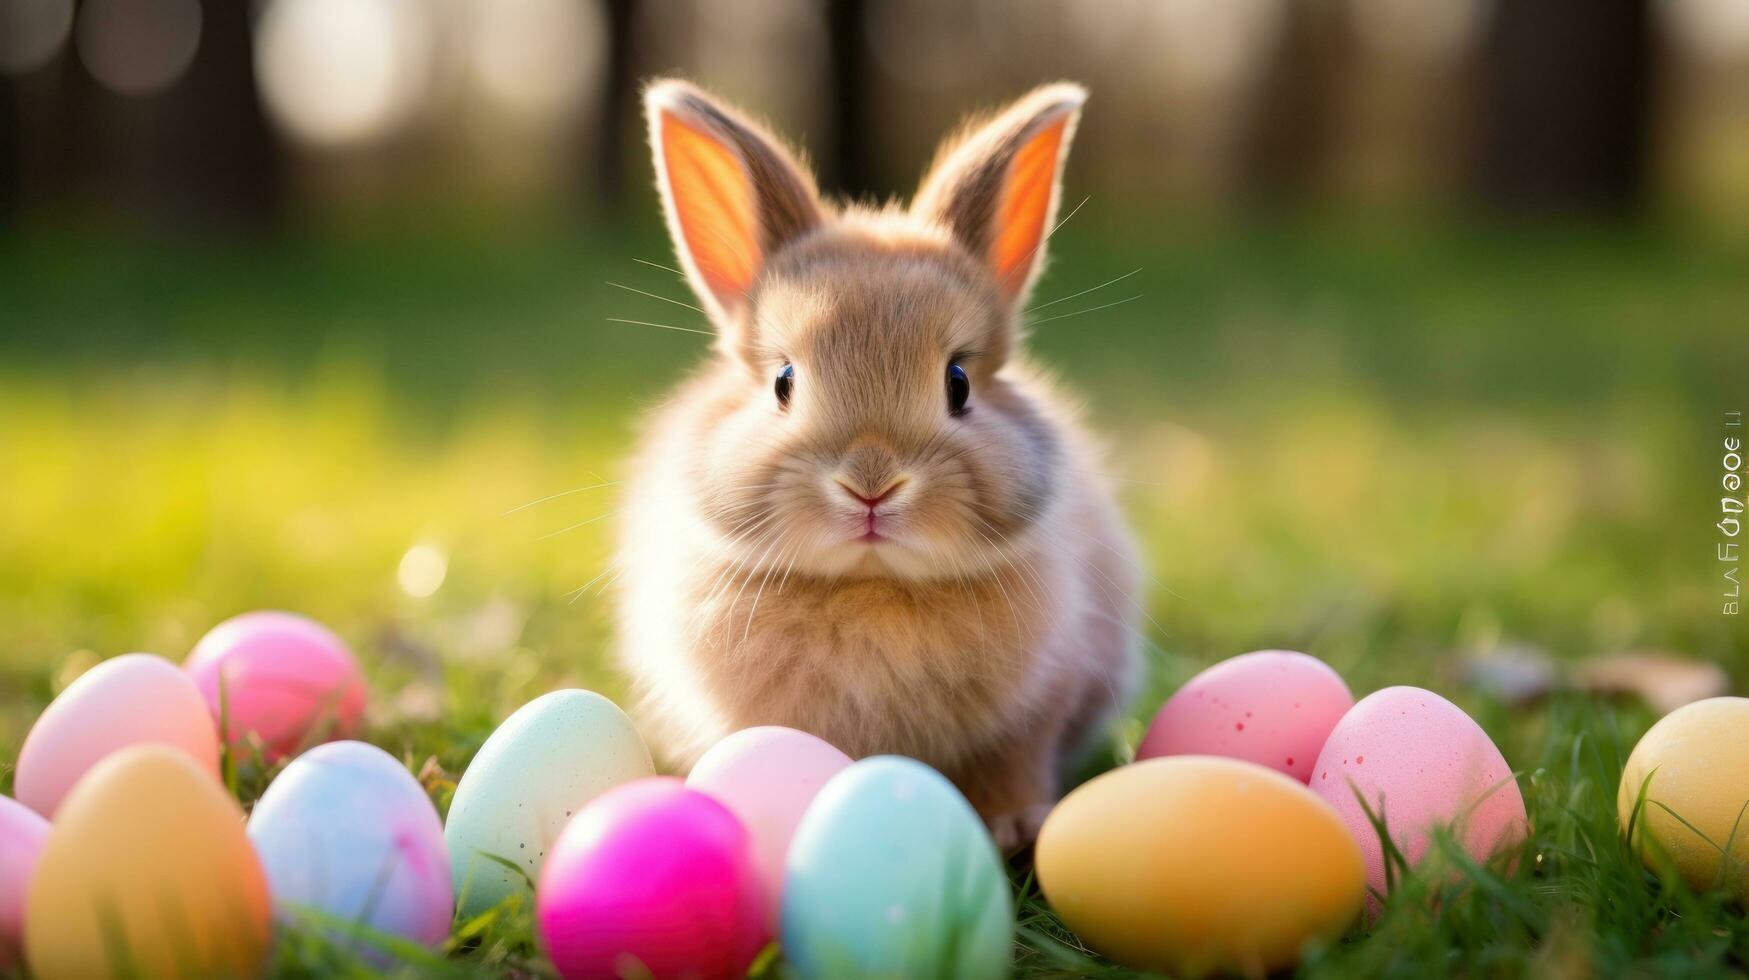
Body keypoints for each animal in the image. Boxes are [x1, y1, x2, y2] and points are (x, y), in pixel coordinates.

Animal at [619, 78, 1147, 850]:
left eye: (958, 382)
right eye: (783, 382)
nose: (870, 485)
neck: (871, 587)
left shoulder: (1038, 707)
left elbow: (1013, 761)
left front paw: (1012, 825)